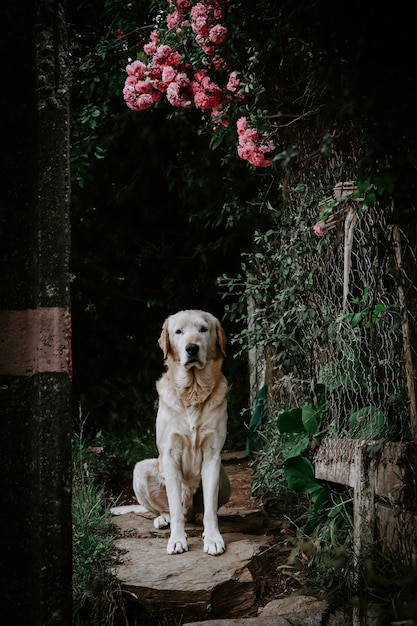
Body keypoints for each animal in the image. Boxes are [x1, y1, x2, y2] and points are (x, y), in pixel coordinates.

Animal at [133, 310, 231, 552]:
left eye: (203, 329)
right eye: (178, 332)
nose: (192, 348)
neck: (193, 391)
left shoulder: (213, 456)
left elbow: (210, 509)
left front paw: (213, 538)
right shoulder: (170, 455)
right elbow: (175, 508)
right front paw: (177, 540)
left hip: (225, 480)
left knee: (201, 511)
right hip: (140, 469)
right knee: (171, 509)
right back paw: (162, 519)